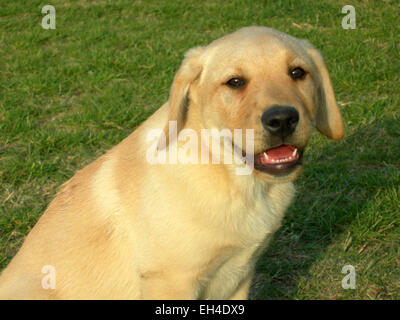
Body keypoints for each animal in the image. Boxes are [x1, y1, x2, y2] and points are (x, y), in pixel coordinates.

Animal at [0, 26, 344, 298]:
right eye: (234, 82)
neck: (232, 177)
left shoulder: (239, 275)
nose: (282, 119)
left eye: (297, 73)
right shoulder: (172, 280)